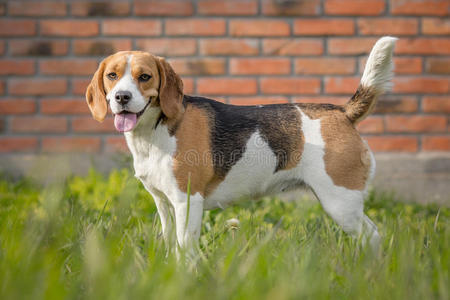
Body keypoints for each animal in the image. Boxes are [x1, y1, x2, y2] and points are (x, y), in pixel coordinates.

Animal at [86, 36, 396, 252]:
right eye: (112, 76)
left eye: (145, 77)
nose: (122, 97)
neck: (154, 132)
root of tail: (342, 112)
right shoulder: (163, 203)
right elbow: (172, 245)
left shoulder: (187, 201)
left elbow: (185, 249)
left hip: (340, 202)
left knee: (373, 235)